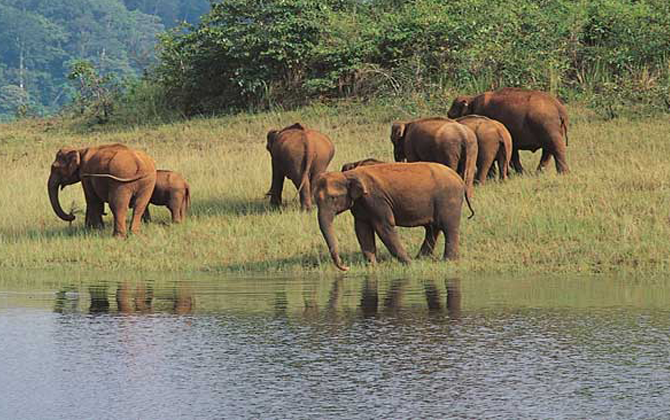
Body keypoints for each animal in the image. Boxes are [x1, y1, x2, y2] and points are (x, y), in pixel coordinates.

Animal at [314, 162, 476, 270]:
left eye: (333, 198)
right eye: (315, 200)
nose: (345, 267)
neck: (348, 175)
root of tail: (460, 179)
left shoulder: (376, 199)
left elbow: (384, 226)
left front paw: (409, 264)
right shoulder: (360, 204)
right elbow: (362, 229)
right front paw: (372, 266)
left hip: (449, 199)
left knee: (448, 228)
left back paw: (448, 261)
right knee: (432, 228)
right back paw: (421, 258)